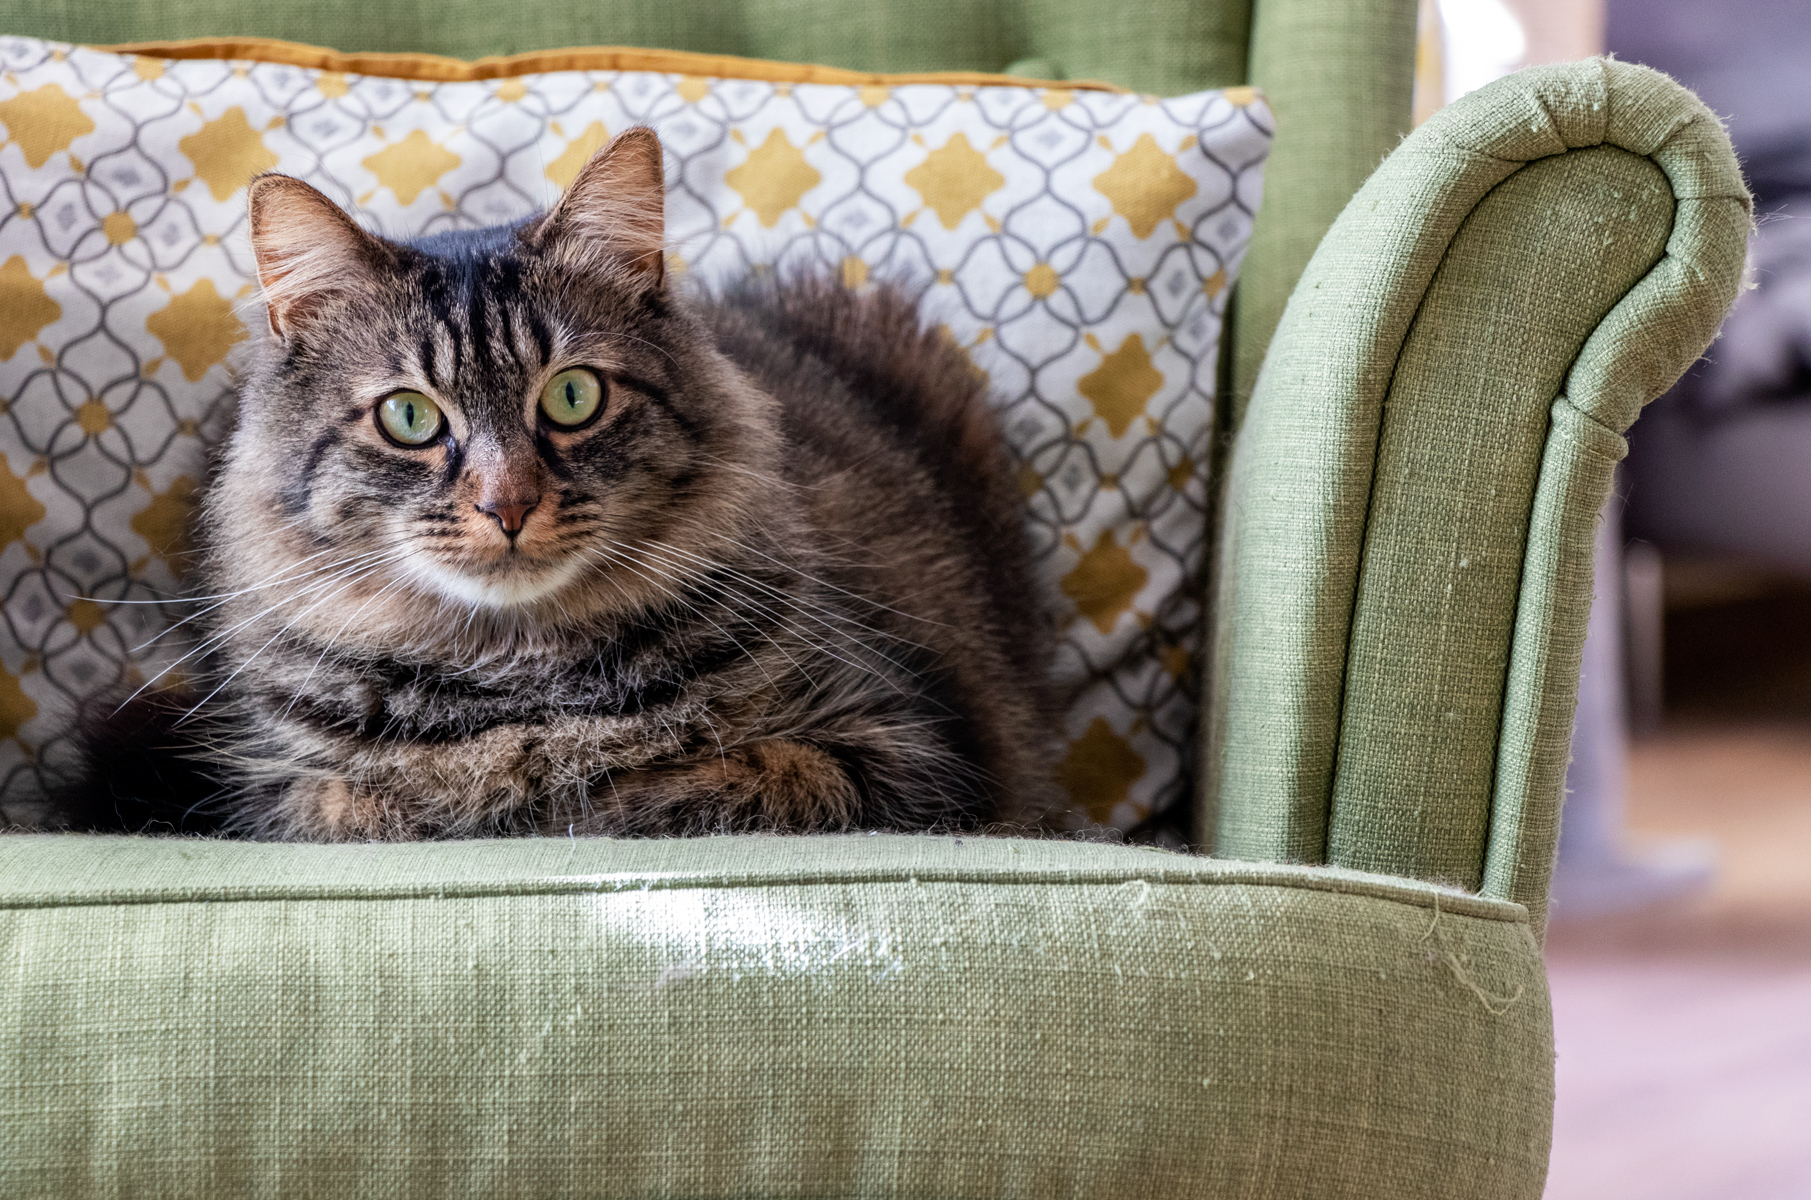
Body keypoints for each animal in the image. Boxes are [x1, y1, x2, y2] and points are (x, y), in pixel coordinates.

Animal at [49, 129, 1057, 843]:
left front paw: (559, 797)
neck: (521, 678)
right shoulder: (270, 791)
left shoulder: (908, 751)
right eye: (408, 417)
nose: (508, 504)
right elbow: (366, 807)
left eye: (572, 396)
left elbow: (702, 785)